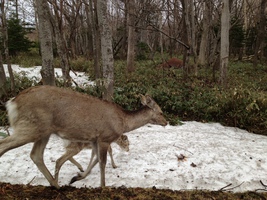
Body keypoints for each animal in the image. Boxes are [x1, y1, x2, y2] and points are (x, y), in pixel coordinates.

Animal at [1, 85, 168, 188]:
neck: (122, 121)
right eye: (160, 112)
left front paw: (76, 178)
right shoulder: (104, 137)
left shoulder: (95, 139)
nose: (166, 122)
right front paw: (103, 186)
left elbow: (95, 160)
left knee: (36, 155)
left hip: (43, 131)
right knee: (5, 145)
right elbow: (102, 163)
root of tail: (12, 103)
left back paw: (56, 185)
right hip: (30, 126)